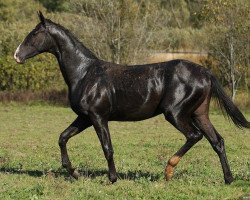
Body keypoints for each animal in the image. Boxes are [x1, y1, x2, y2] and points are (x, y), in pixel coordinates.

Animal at [14, 11, 250, 184]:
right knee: (217, 141)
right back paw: (228, 179)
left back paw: (168, 171)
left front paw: (112, 178)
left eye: (34, 34)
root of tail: (205, 73)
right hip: (200, 113)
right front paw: (73, 172)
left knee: (194, 136)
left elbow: (107, 147)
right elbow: (63, 137)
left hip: (175, 113)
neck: (85, 73)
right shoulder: (85, 118)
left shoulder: (98, 117)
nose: (17, 55)